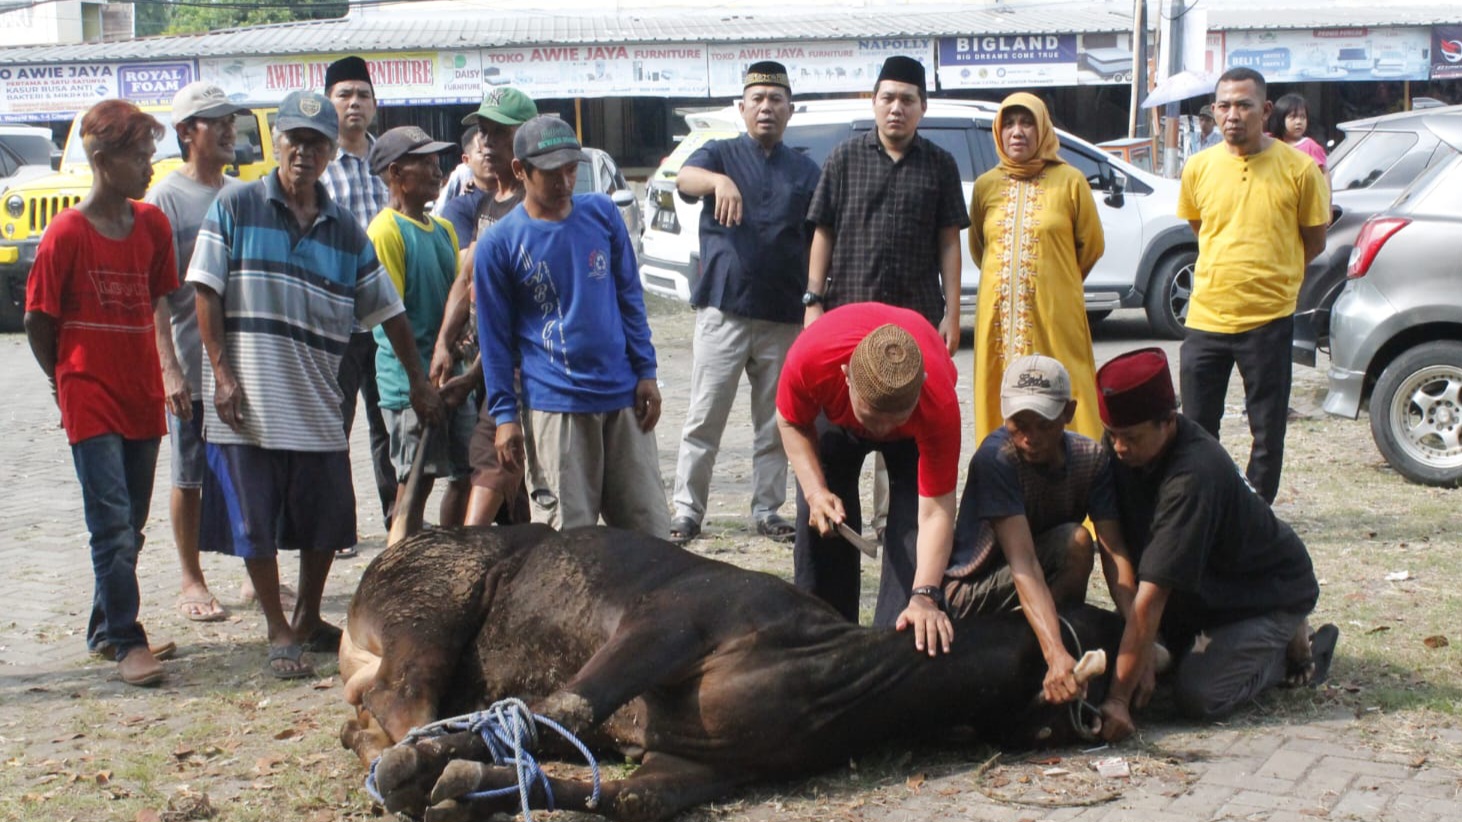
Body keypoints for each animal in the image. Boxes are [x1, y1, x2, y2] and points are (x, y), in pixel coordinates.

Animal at [342, 523, 1116, 819]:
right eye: (1078, 616)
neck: (827, 676)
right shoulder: (669, 623)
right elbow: (564, 711)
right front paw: (433, 770)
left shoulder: (695, 764)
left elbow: (627, 797)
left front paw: (469, 784)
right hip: (433, 615)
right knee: (399, 695)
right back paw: (404, 756)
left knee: (367, 713)